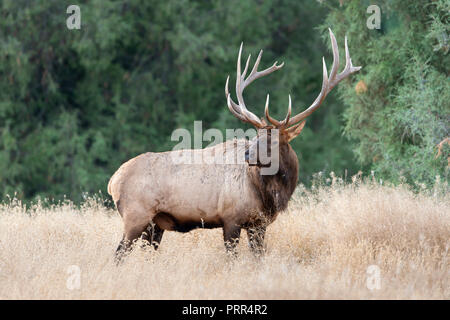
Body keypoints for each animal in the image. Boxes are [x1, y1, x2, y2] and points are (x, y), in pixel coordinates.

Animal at [107, 29, 360, 260]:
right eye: (256, 137)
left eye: (273, 140)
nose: (248, 155)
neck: (267, 195)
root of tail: (113, 181)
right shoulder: (231, 219)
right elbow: (231, 259)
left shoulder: (258, 225)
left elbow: (259, 257)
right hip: (136, 216)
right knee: (118, 254)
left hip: (156, 224)